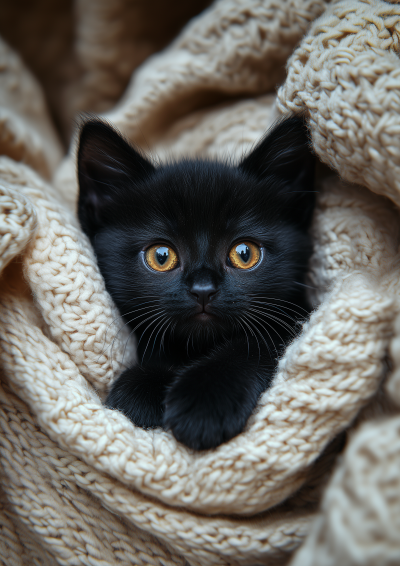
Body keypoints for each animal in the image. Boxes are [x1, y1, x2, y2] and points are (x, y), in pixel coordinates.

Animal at [77, 116, 316, 452]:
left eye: (245, 253)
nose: (203, 289)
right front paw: (139, 391)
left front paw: (205, 404)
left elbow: (256, 342)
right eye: (161, 256)